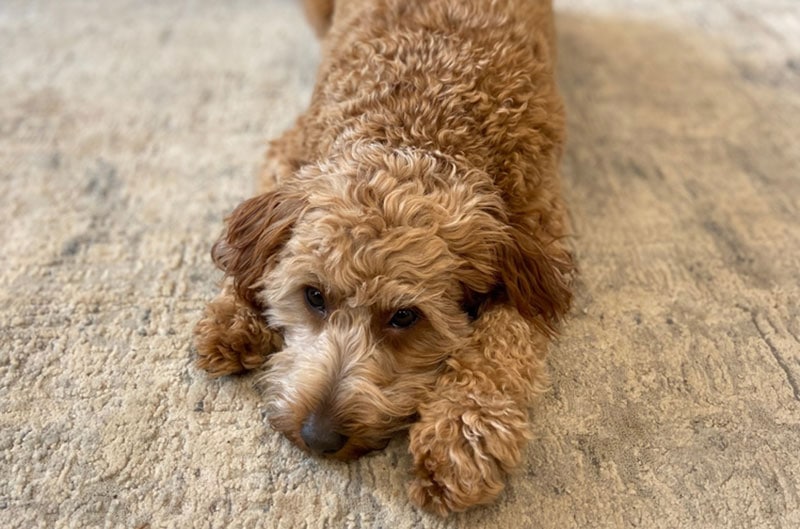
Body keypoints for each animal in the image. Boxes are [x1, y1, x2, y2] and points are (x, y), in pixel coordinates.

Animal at [196, 0, 572, 512]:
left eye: (405, 317)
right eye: (314, 296)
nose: (318, 437)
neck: (421, 128)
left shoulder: (538, 250)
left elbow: (501, 342)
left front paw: (461, 436)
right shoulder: (290, 151)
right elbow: (251, 252)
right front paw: (234, 313)